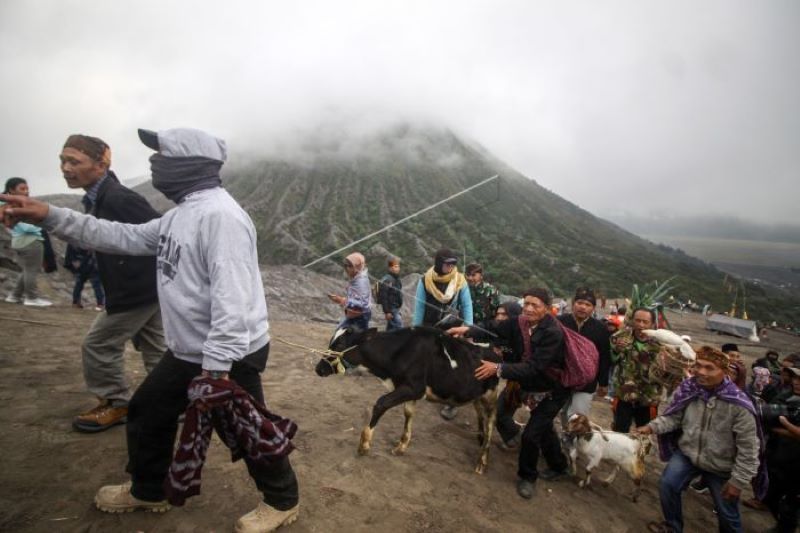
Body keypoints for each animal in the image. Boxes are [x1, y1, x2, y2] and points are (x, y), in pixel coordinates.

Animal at [312, 326, 500, 472]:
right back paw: (480, 438)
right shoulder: (411, 391)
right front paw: (401, 446)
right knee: (481, 415)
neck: (401, 351)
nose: (318, 369)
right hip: (477, 396)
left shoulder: (414, 388)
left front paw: (364, 445)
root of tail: (494, 350)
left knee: (491, 422)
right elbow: (408, 413)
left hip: (492, 397)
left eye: (340, 344)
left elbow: (381, 403)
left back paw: (482, 461)